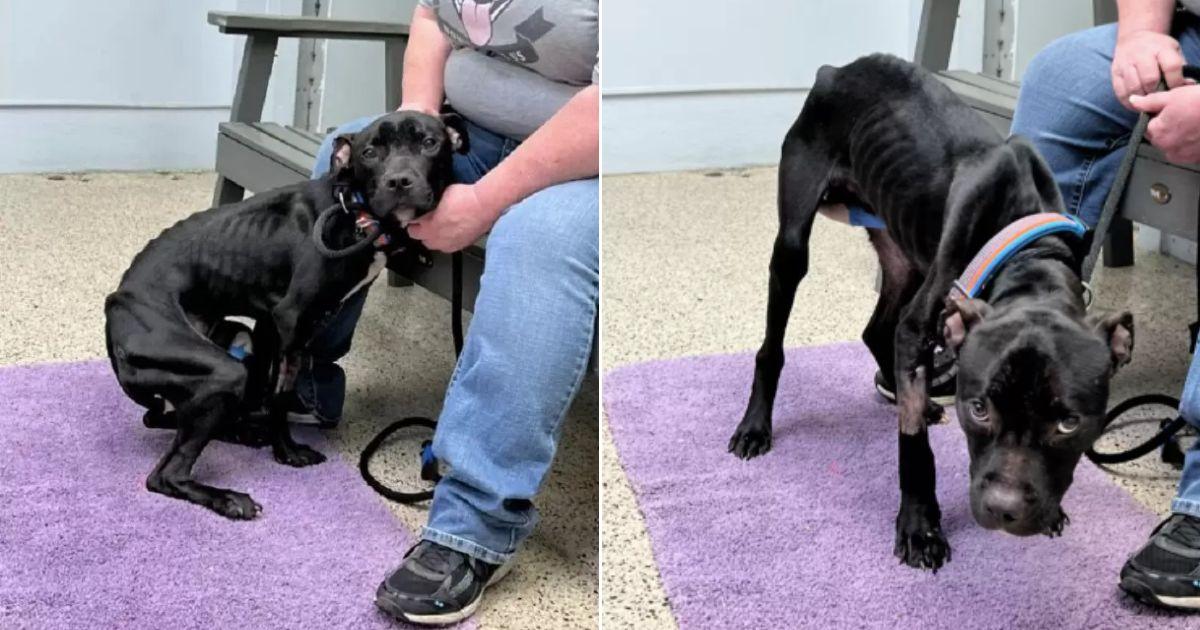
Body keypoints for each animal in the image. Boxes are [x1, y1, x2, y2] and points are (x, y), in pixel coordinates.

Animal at [105, 110, 468, 518]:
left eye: (429, 143)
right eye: (370, 151)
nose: (400, 181)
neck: (353, 211)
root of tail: (116, 308)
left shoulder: (268, 326)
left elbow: (267, 388)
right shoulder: (291, 320)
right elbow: (280, 395)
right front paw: (287, 452)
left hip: (235, 343)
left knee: (165, 418)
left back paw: (240, 432)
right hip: (220, 371)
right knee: (165, 474)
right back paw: (229, 497)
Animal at [724, 55, 1128, 568]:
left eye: (1069, 422)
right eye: (978, 408)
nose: (1005, 511)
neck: (1030, 254)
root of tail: (836, 70)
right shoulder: (922, 326)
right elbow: (914, 444)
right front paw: (920, 526)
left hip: (904, 255)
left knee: (878, 329)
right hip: (797, 239)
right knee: (774, 346)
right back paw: (755, 426)